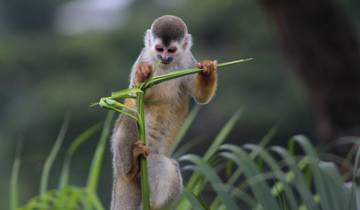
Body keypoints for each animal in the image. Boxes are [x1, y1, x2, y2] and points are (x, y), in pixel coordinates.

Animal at [110, 15, 217, 210]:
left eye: (171, 50)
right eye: (159, 49)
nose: (164, 57)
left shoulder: (188, 60)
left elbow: (201, 97)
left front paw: (207, 72)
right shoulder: (145, 56)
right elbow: (136, 94)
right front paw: (142, 76)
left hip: (153, 162)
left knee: (170, 166)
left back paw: (153, 205)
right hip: (121, 162)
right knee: (131, 117)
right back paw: (131, 169)